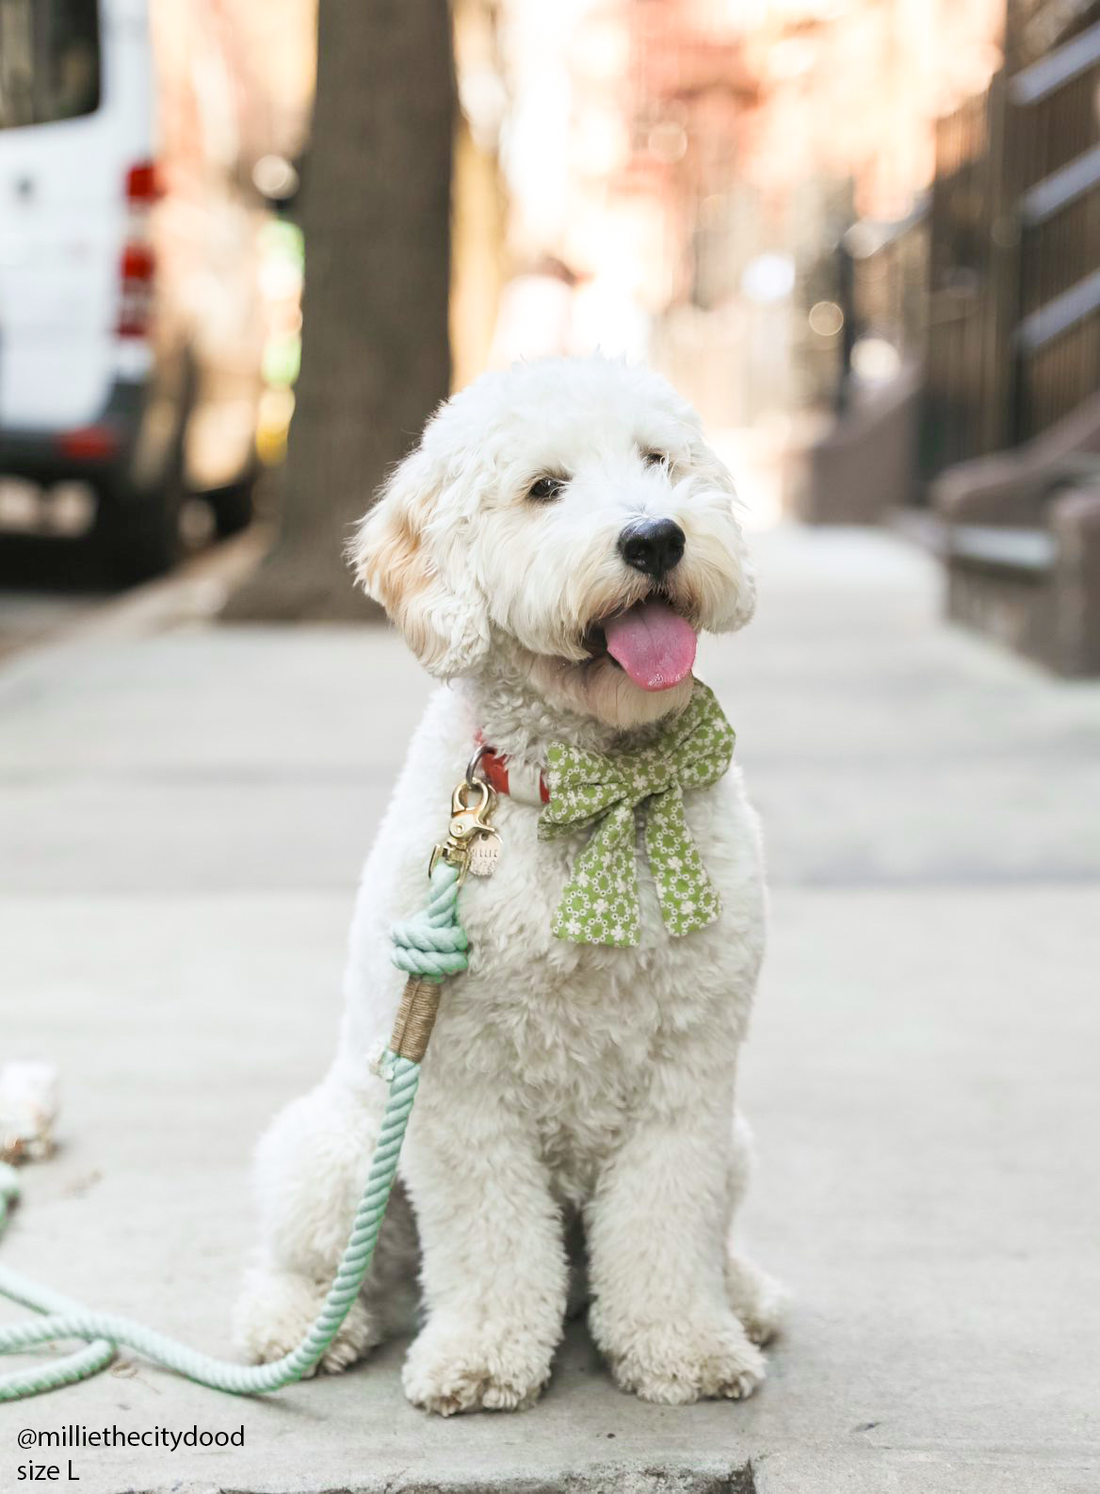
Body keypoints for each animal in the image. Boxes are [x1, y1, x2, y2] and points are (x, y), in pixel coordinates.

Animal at [231, 352, 783, 1410]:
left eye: (659, 460)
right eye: (544, 488)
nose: (656, 537)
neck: (591, 787)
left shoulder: (690, 1075)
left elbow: (665, 1218)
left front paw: (684, 1346)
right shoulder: (461, 1080)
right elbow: (490, 1234)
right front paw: (484, 1356)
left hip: (737, 1143)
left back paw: (744, 1292)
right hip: (340, 1151)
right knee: (326, 1266)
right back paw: (298, 1328)